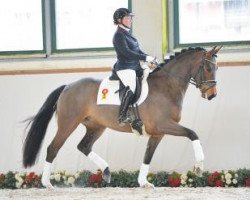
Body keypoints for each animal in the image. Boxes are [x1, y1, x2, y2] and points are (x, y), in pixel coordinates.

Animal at [23, 46, 222, 188]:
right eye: (207, 67)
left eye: (217, 68)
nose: (212, 95)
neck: (167, 86)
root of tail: (67, 86)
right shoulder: (163, 125)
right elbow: (192, 133)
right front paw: (199, 167)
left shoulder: (157, 133)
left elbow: (148, 155)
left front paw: (144, 182)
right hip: (68, 124)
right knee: (53, 148)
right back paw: (47, 184)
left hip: (96, 126)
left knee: (84, 146)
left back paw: (106, 171)